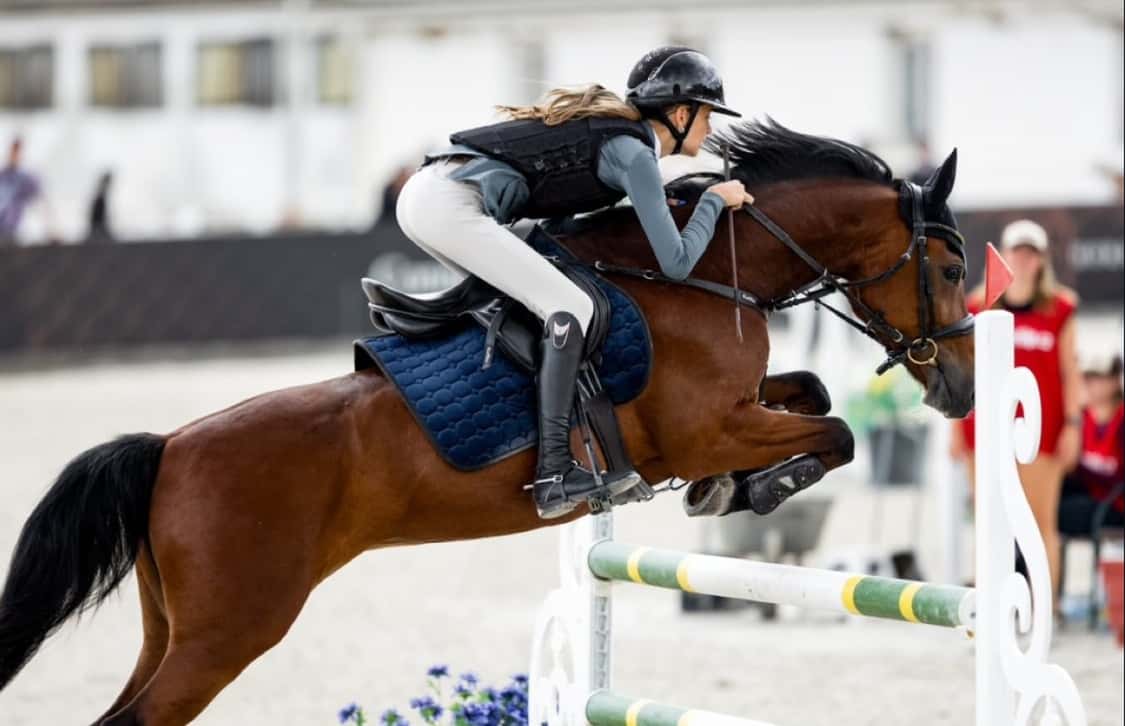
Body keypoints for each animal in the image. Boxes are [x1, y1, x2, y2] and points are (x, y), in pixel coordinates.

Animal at [0, 121, 974, 725]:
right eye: (953, 268)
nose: (960, 392)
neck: (702, 274)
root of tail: (168, 449)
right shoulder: (711, 425)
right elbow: (834, 432)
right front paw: (756, 487)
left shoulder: (737, 408)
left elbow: (810, 389)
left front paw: (726, 491)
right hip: (229, 629)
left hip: (171, 628)